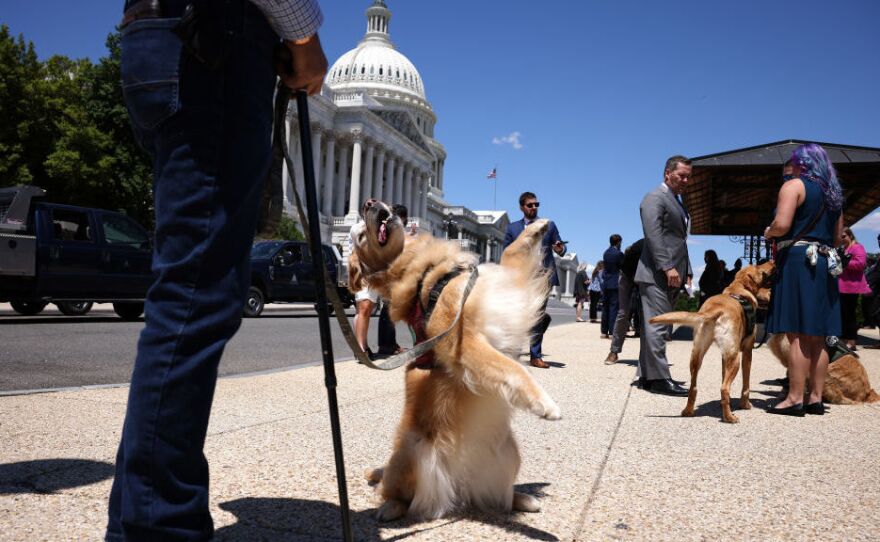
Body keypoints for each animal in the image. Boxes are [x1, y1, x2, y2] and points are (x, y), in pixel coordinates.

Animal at [348, 202, 560, 524]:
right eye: (360, 236)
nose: (370, 202)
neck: (424, 269)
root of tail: (459, 478)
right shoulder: (459, 340)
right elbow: (510, 368)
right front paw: (544, 403)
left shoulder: (504, 280)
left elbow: (511, 251)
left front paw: (537, 227)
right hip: (409, 454)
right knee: (393, 491)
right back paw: (390, 507)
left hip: (511, 454)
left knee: (499, 493)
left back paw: (521, 498)